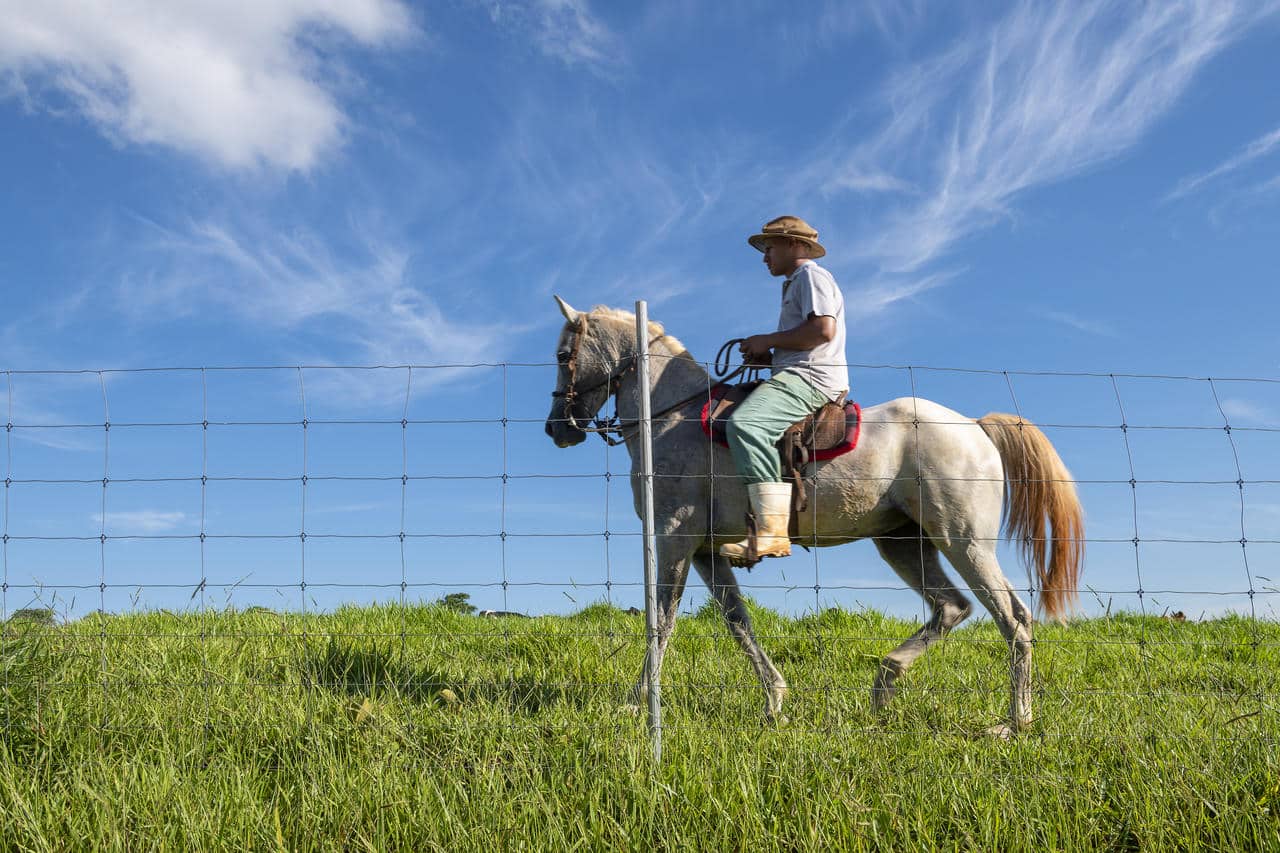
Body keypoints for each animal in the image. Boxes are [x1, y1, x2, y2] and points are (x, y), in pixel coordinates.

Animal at [540, 294, 1080, 732]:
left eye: (564, 356)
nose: (556, 429)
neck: (671, 418)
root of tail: (974, 426)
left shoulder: (674, 539)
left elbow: (662, 621)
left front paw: (635, 704)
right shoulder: (707, 552)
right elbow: (737, 622)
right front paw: (774, 701)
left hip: (963, 541)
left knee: (1013, 619)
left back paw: (1013, 723)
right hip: (903, 542)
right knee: (952, 607)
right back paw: (885, 682)